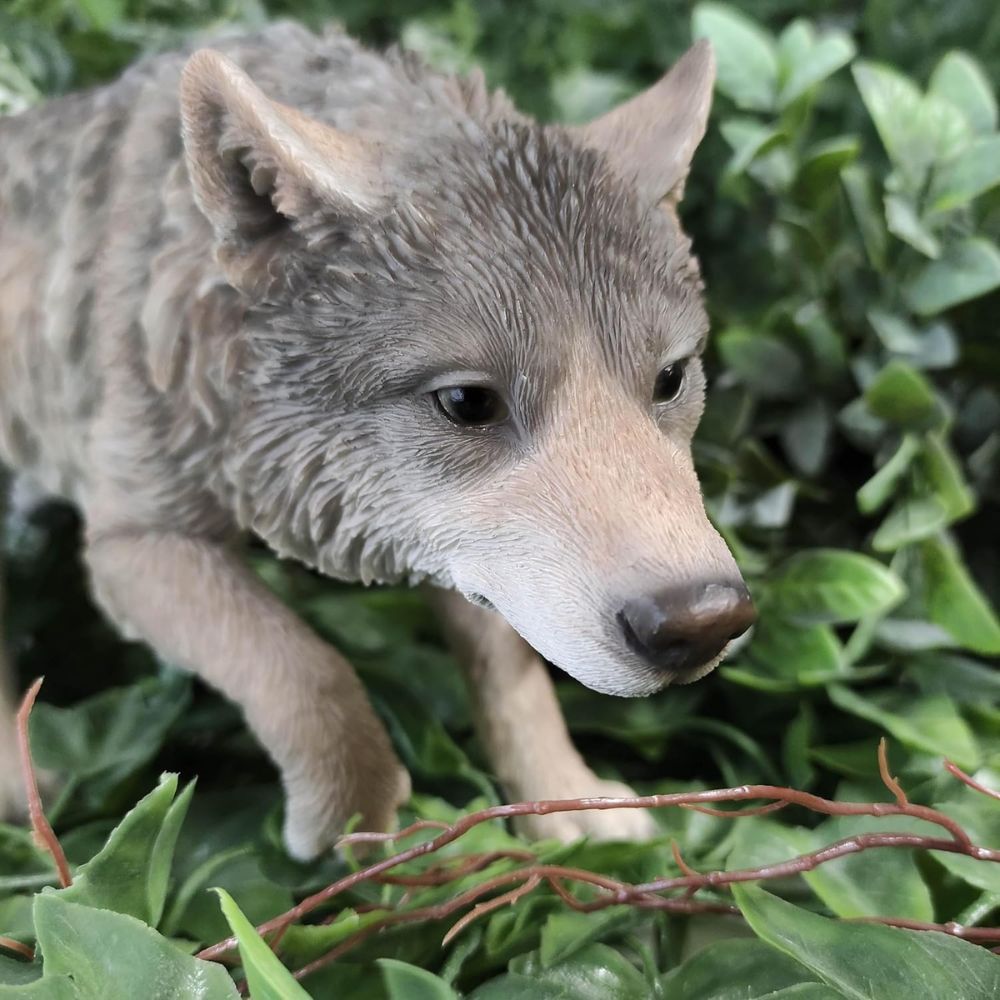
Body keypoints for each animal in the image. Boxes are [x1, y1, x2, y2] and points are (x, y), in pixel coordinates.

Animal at [0, 22, 754, 858]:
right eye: (466, 402)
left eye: (670, 379)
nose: (703, 620)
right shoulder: (136, 543)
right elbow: (302, 666)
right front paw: (349, 819)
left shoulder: (463, 552)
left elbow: (510, 673)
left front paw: (566, 799)